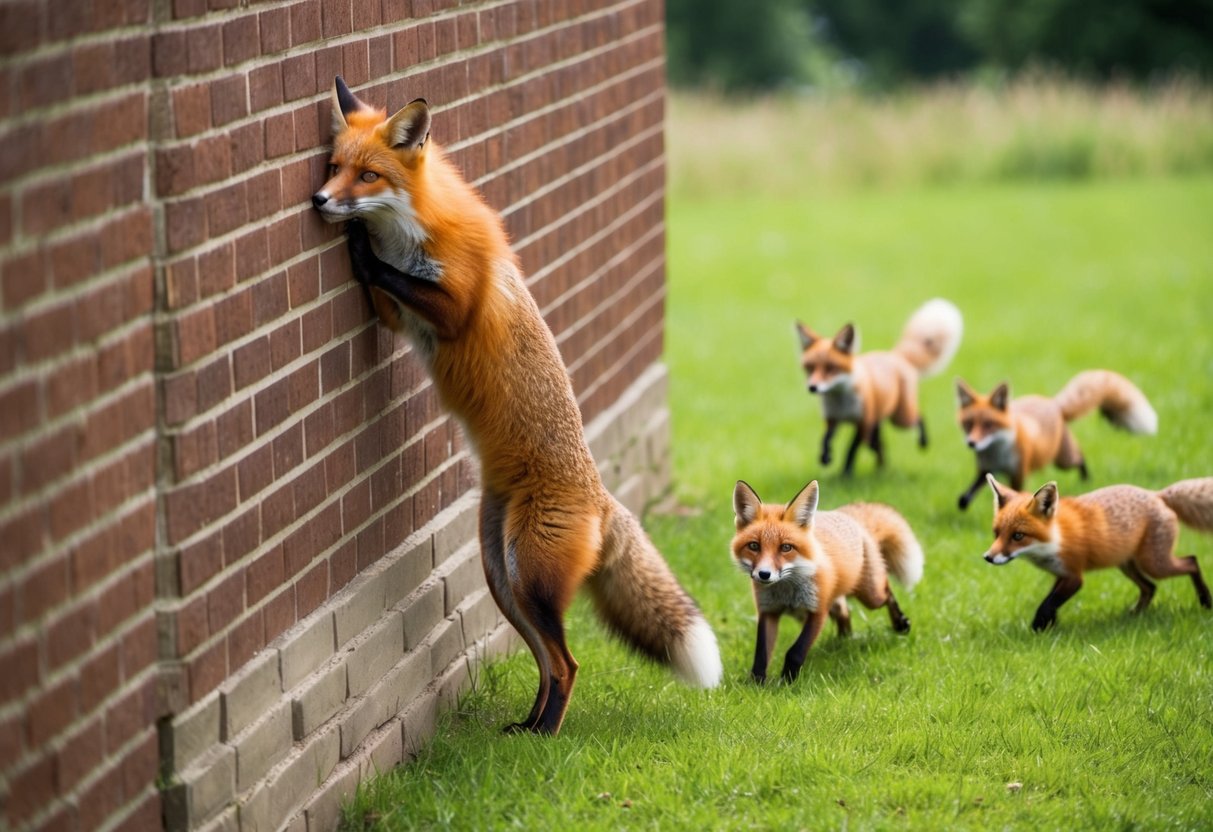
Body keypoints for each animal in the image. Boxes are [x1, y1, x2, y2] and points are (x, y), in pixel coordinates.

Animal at [312, 77, 722, 734]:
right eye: (334, 167)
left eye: (368, 176)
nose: (320, 199)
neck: (413, 227)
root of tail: (602, 498)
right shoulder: (398, 318)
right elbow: (386, 292)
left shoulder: (455, 305)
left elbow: (392, 273)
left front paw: (360, 246)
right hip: (502, 575)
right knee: (547, 662)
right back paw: (527, 729)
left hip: (527, 577)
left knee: (569, 663)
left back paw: (547, 736)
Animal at [730, 480, 923, 683]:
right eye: (754, 546)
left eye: (786, 547)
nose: (764, 574)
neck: (787, 591)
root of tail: (846, 514)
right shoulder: (768, 611)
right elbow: (761, 654)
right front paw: (757, 683)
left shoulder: (818, 609)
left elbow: (795, 652)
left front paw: (787, 682)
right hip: (837, 602)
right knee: (846, 611)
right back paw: (844, 640)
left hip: (870, 596)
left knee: (887, 592)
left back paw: (900, 623)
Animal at [795, 299, 963, 475]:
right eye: (810, 368)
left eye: (831, 368)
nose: (812, 387)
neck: (841, 402)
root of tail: (895, 355)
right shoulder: (833, 419)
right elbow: (825, 440)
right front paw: (825, 457)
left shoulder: (864, 422)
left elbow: (851, 450)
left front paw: (846, 473)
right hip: (880, 423)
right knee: (879, 446)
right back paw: (881, 469)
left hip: (900, 419)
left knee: (918, 417)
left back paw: (923, 442)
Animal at [955, 372, 1157, 510]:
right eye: (968, 424)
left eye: (989, 424)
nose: (972, 443)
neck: (997, 453)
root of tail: (1054, 404)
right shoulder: (986, 470)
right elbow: (966, 495)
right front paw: (963, 503)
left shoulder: (1018, 474)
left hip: (1063, 460)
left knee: (1081, 458)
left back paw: (1086, 479)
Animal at [983, 475, 1213, 631]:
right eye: (996, 533)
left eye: (1018, 536)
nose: (988, 557)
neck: (1054, 538)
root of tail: (1156, 494)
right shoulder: (1060, 574)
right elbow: (1051, 602)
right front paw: (1050, 625)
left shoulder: (1074, 576)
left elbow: (1047, 604)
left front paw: (1038, 627)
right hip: (1127, 565)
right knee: (1150, 587)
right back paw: (1133, 616)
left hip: (1155, 564)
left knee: (1191, 561)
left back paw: (1205, 601)